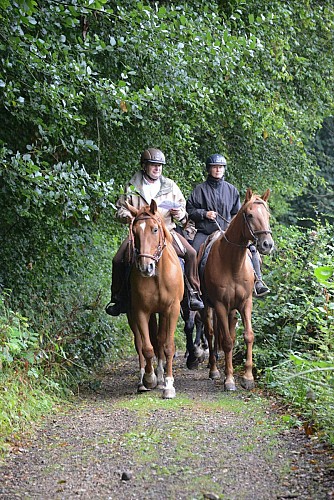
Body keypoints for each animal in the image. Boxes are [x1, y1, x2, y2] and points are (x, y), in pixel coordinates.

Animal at [126, 199, 184, 398]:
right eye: (134, 231)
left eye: (155, 229)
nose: (146, 267)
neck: (157, 276)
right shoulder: (140, 312)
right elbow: (147, 348)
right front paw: (150, 379)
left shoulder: (172, 310)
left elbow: (168, 346)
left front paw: (168, 384)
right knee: (141, 343)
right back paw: (143, 380)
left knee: (159, 339)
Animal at [201, 188, 274, 390]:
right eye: (249, 215)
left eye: (267, 215)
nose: (267, 244)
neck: (232, 263)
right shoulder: (219, 304)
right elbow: (226, 341)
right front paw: (229, 379)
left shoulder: (245, 303)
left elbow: (247, 336)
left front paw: (248, 377)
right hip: (207, 306)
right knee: (211, 333)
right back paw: (214, 370)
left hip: (232, 309)